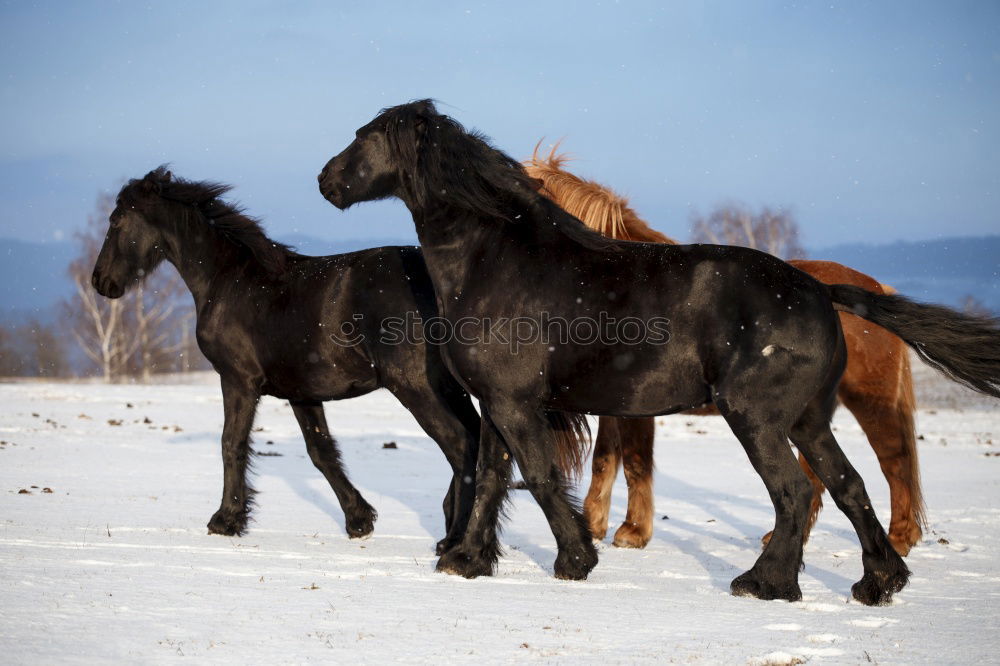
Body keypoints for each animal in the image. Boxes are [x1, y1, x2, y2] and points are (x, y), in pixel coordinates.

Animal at [92, 169, 482, 548]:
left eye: (116, 221)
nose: (101, 282)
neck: (228, 280)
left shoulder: (237, 381)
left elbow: (231, 443)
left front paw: (226, 520)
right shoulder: (302, 393)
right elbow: (321, 452)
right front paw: (358, 520)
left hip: (416, 387)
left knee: (459, 444)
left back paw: (455, 539)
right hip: (449, 388)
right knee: (474, 440)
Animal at [528, 147, 924, 556]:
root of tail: (875, 288)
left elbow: (636, 459)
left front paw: (633, 532)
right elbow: (605, 459)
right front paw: (595, 525)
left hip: (869, 400)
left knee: (894, 460)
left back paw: (899, 538)